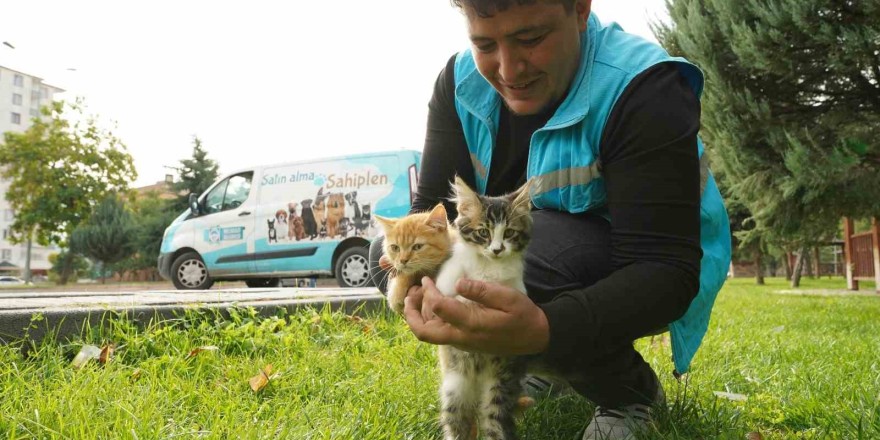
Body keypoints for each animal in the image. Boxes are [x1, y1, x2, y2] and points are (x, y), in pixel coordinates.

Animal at [434, 177, 532, 440]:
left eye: (509, 233)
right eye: (483, 232)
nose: (497, 249)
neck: (489, 267)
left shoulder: (516, 291)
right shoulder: (447, 280)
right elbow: (452, 292)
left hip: (498, 385)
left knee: (494, 421)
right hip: (454, 389)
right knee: (456, 421)